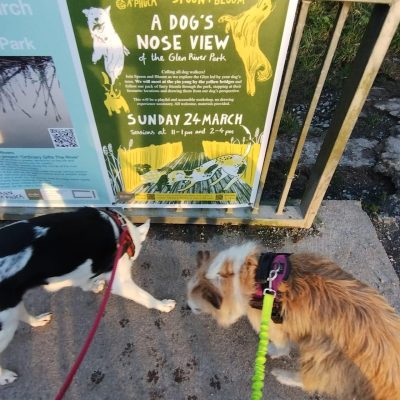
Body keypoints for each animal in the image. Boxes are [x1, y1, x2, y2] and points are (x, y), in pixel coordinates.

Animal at [0, 206, 176, 384]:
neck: (120, 227)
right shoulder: (121, 283)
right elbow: (147, 297)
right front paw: (163, 305)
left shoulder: (81, 274)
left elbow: (85, 282)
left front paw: (95, 285)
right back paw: (5, 376)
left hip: (11, 307)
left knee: (21, 314)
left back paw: (37, 321)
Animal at [187, 242, 400, 398]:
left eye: (196, 308)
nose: (188, 309)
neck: (243, 274)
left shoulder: (274, 326)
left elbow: (282, 347)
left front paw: (272, 350)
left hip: (321, 352)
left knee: (309, 380)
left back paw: (283, 376)